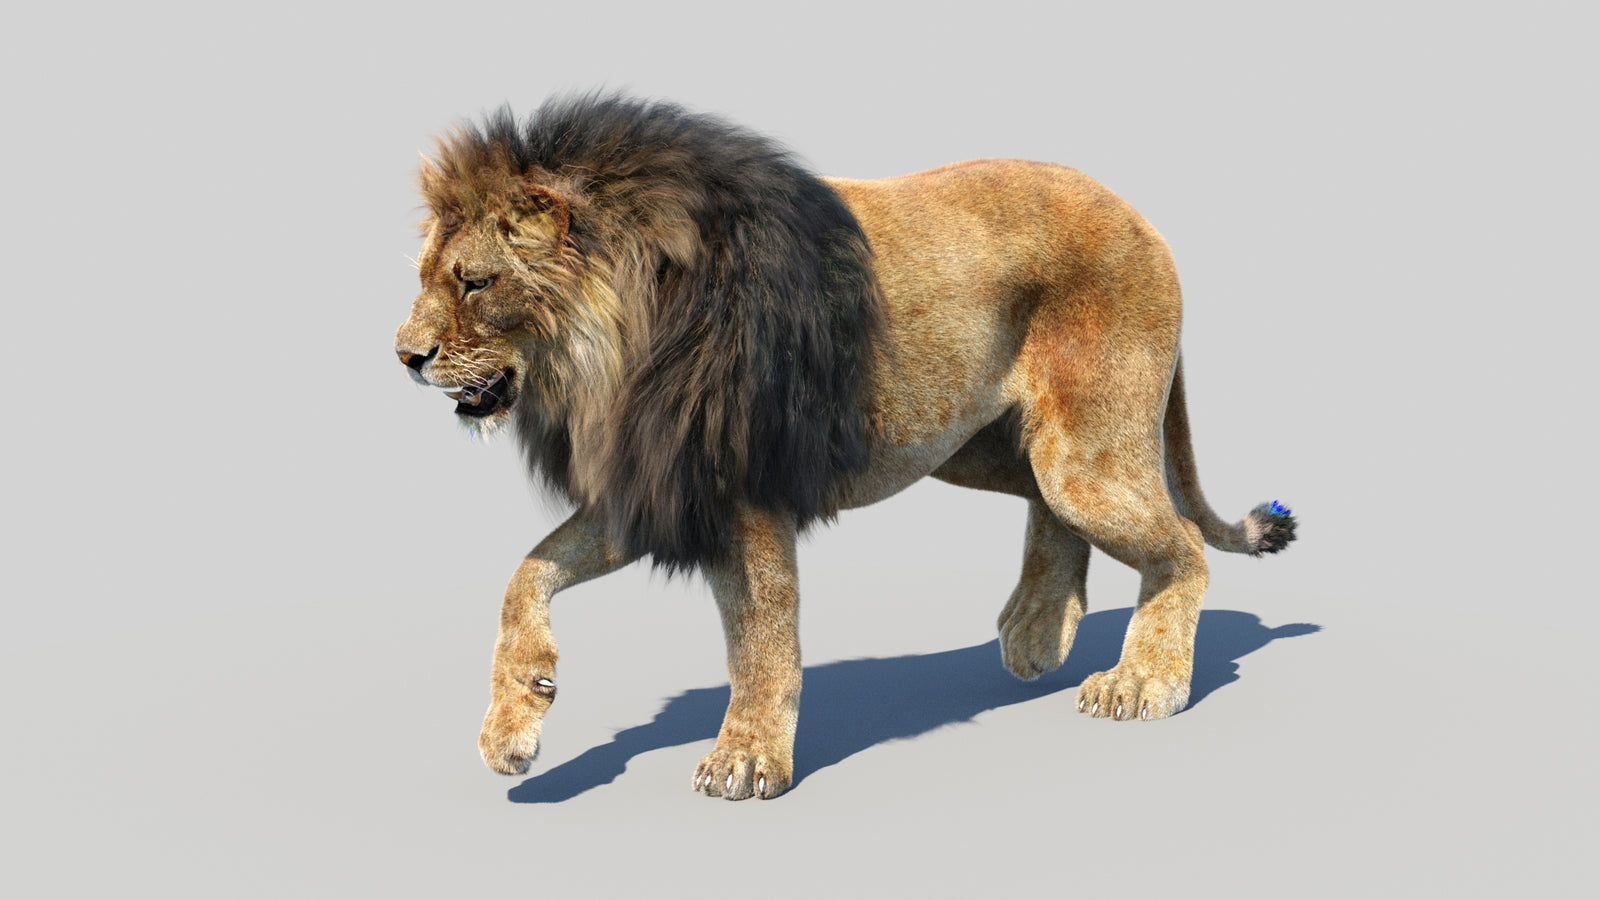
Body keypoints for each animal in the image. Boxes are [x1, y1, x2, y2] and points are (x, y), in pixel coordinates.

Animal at [394, 94, 1297, 800]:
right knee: (1054, 512)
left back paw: (1144, 680)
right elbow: (526, 575)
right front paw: (514, 721)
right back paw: (1041, 631)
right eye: (426, 276)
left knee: (1179, 547)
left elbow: (761, 639)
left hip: (1084, 454)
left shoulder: (739, 489)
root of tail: (1142, 216)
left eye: (474, 281)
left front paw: (746, 759)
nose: (403, 355)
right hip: (974, 444)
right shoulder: (654, 482)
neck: (599, 358)